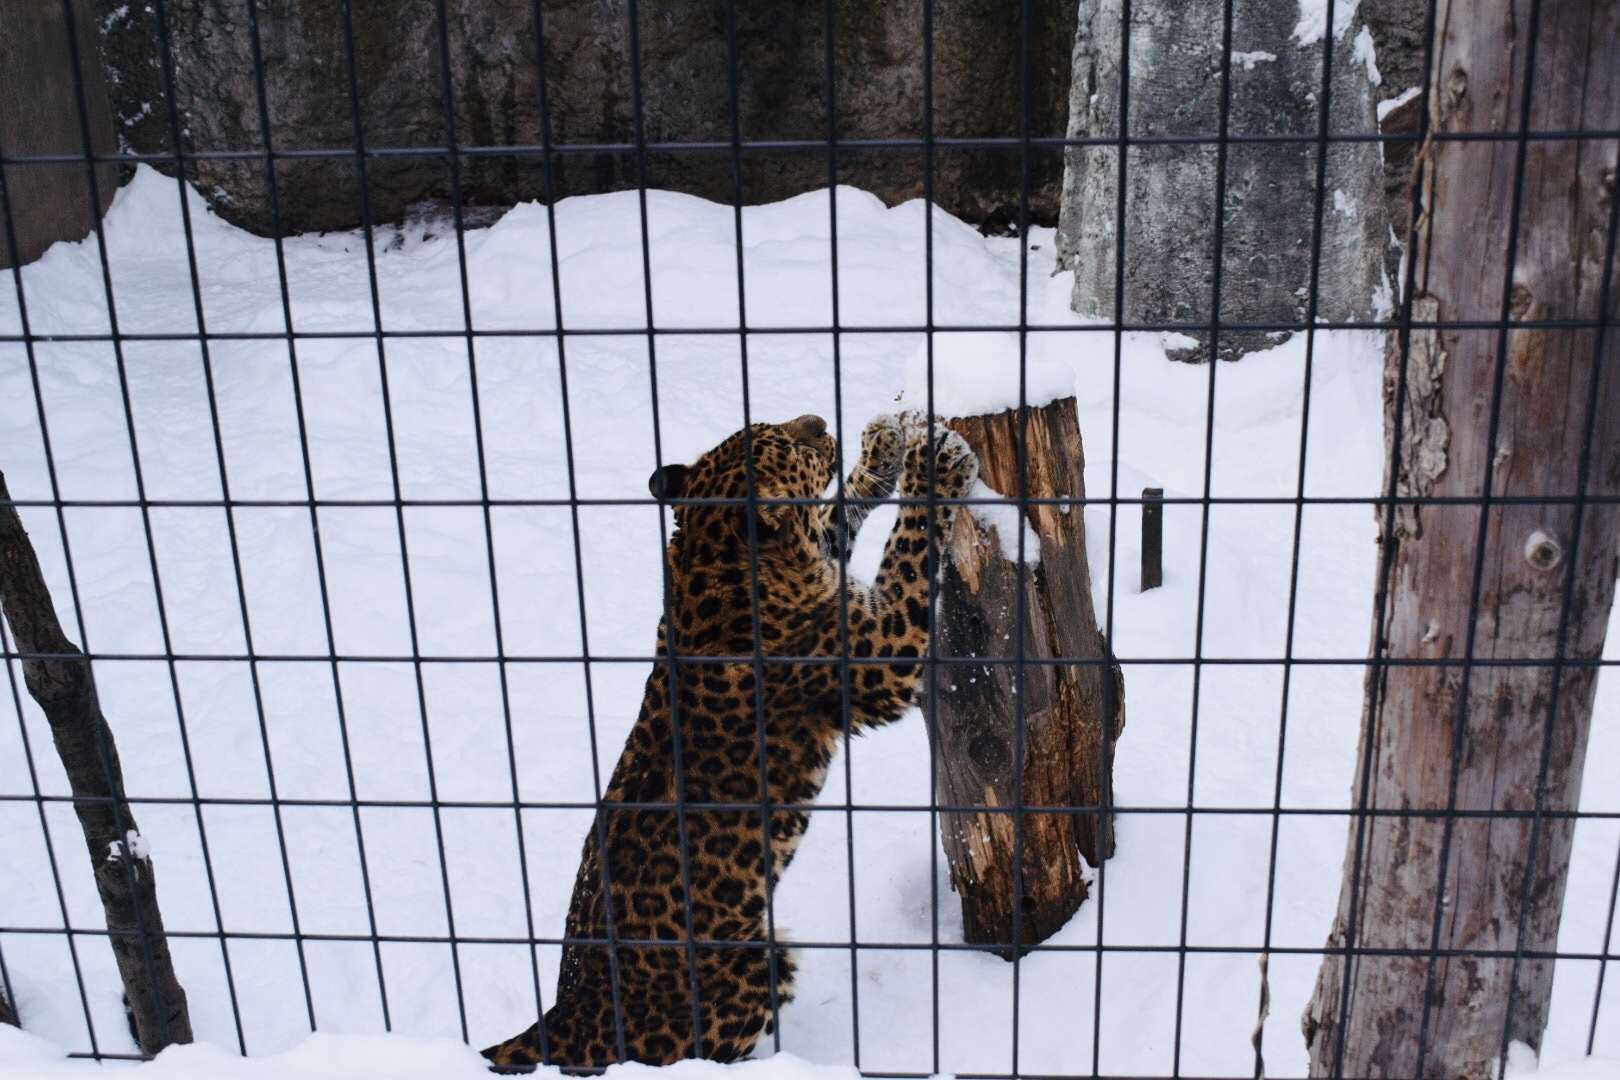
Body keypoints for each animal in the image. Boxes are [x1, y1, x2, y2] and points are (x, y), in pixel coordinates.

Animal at [482, 409, 972, 1068]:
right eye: (791, 442)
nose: (820, 420)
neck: (709, 555)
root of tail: (562, 1018)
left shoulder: (822, 558)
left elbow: (835, 514)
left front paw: (883, 449)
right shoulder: (884, 651)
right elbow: (912, 547)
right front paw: (935, 464)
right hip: (756, 962)